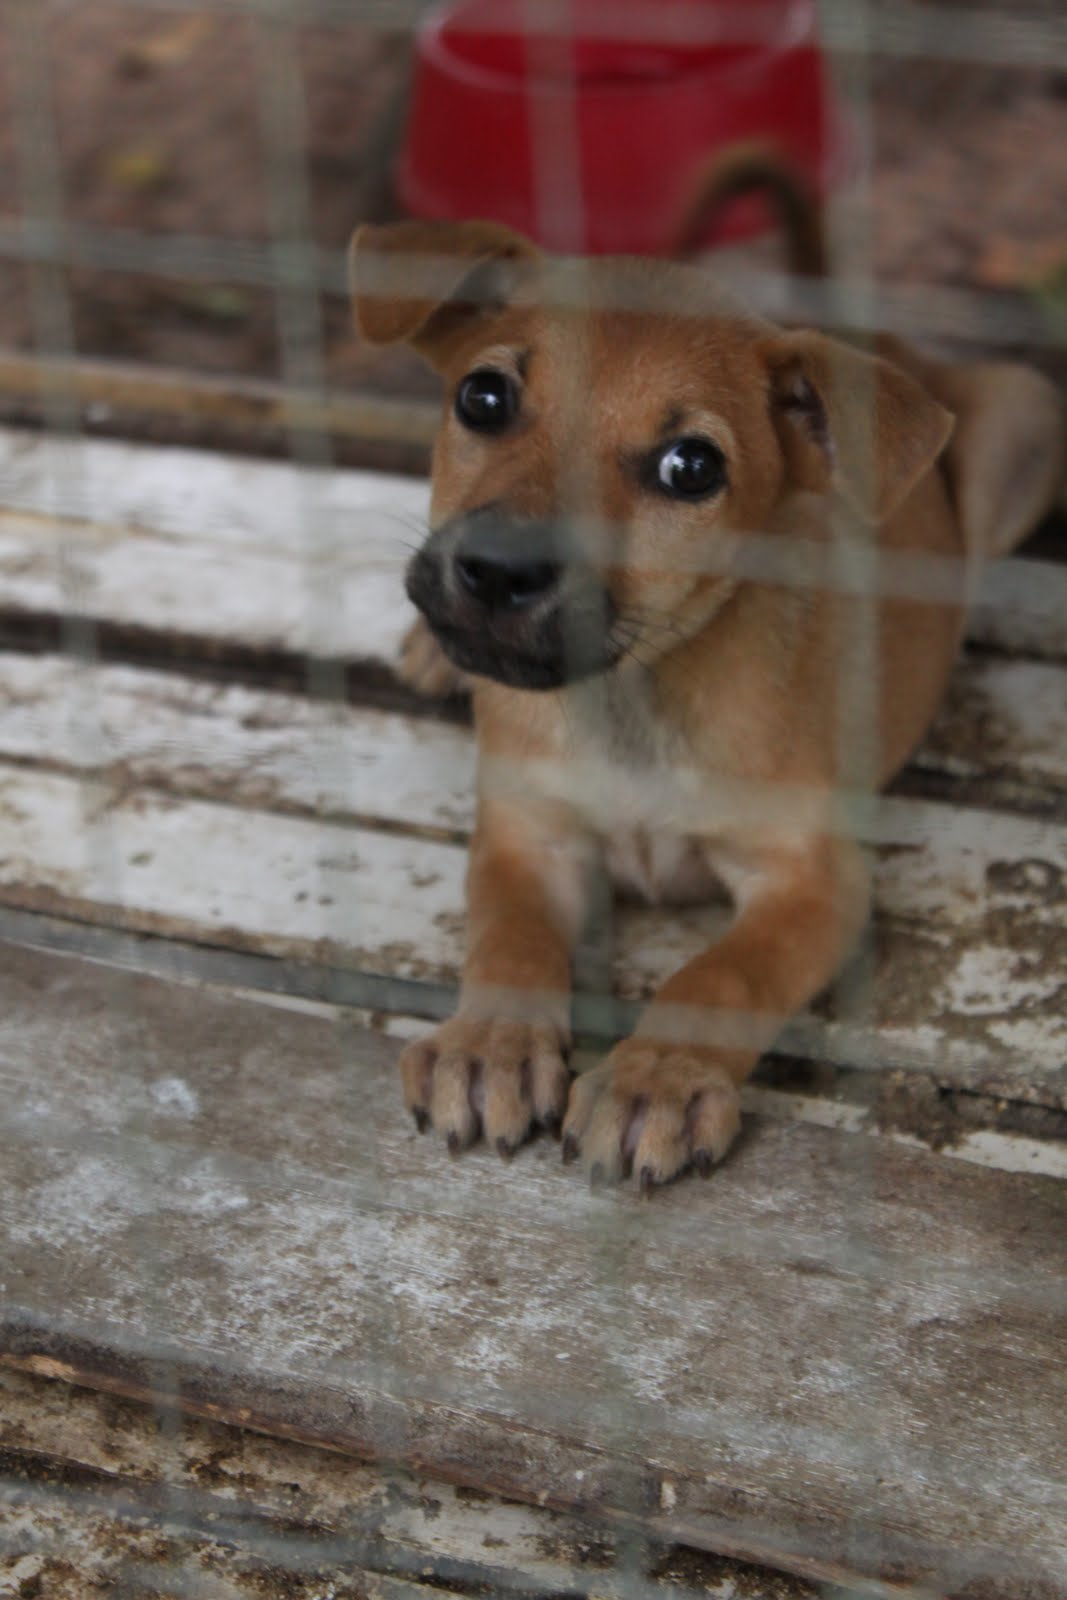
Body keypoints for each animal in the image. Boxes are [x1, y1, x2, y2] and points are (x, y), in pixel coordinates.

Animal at [348, 225, 1062, 1196]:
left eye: (691, 468)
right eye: (482, 396)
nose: (495, 571)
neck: (633, 697)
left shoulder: (813, 881)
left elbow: (721, 975)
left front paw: (658, 1079)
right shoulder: (527, 835)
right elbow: (509, 935)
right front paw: (490, 1042)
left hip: (1024, 418)